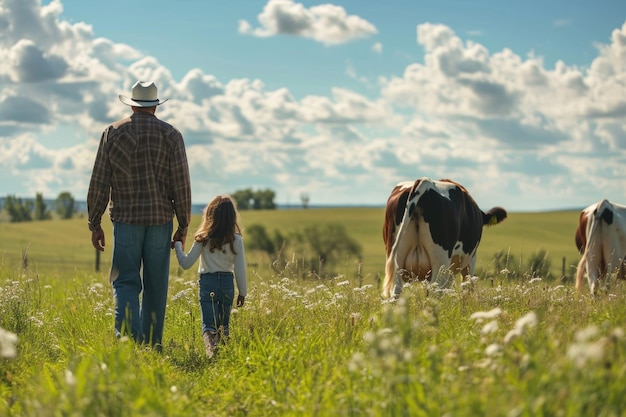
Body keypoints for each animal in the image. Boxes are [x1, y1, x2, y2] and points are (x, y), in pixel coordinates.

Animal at [380, 177, 508, 298]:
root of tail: (425, 182)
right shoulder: (471, 259)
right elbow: (467, 287)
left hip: (397, 259)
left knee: (397, 292)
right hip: (441, 260)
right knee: (435, 291)